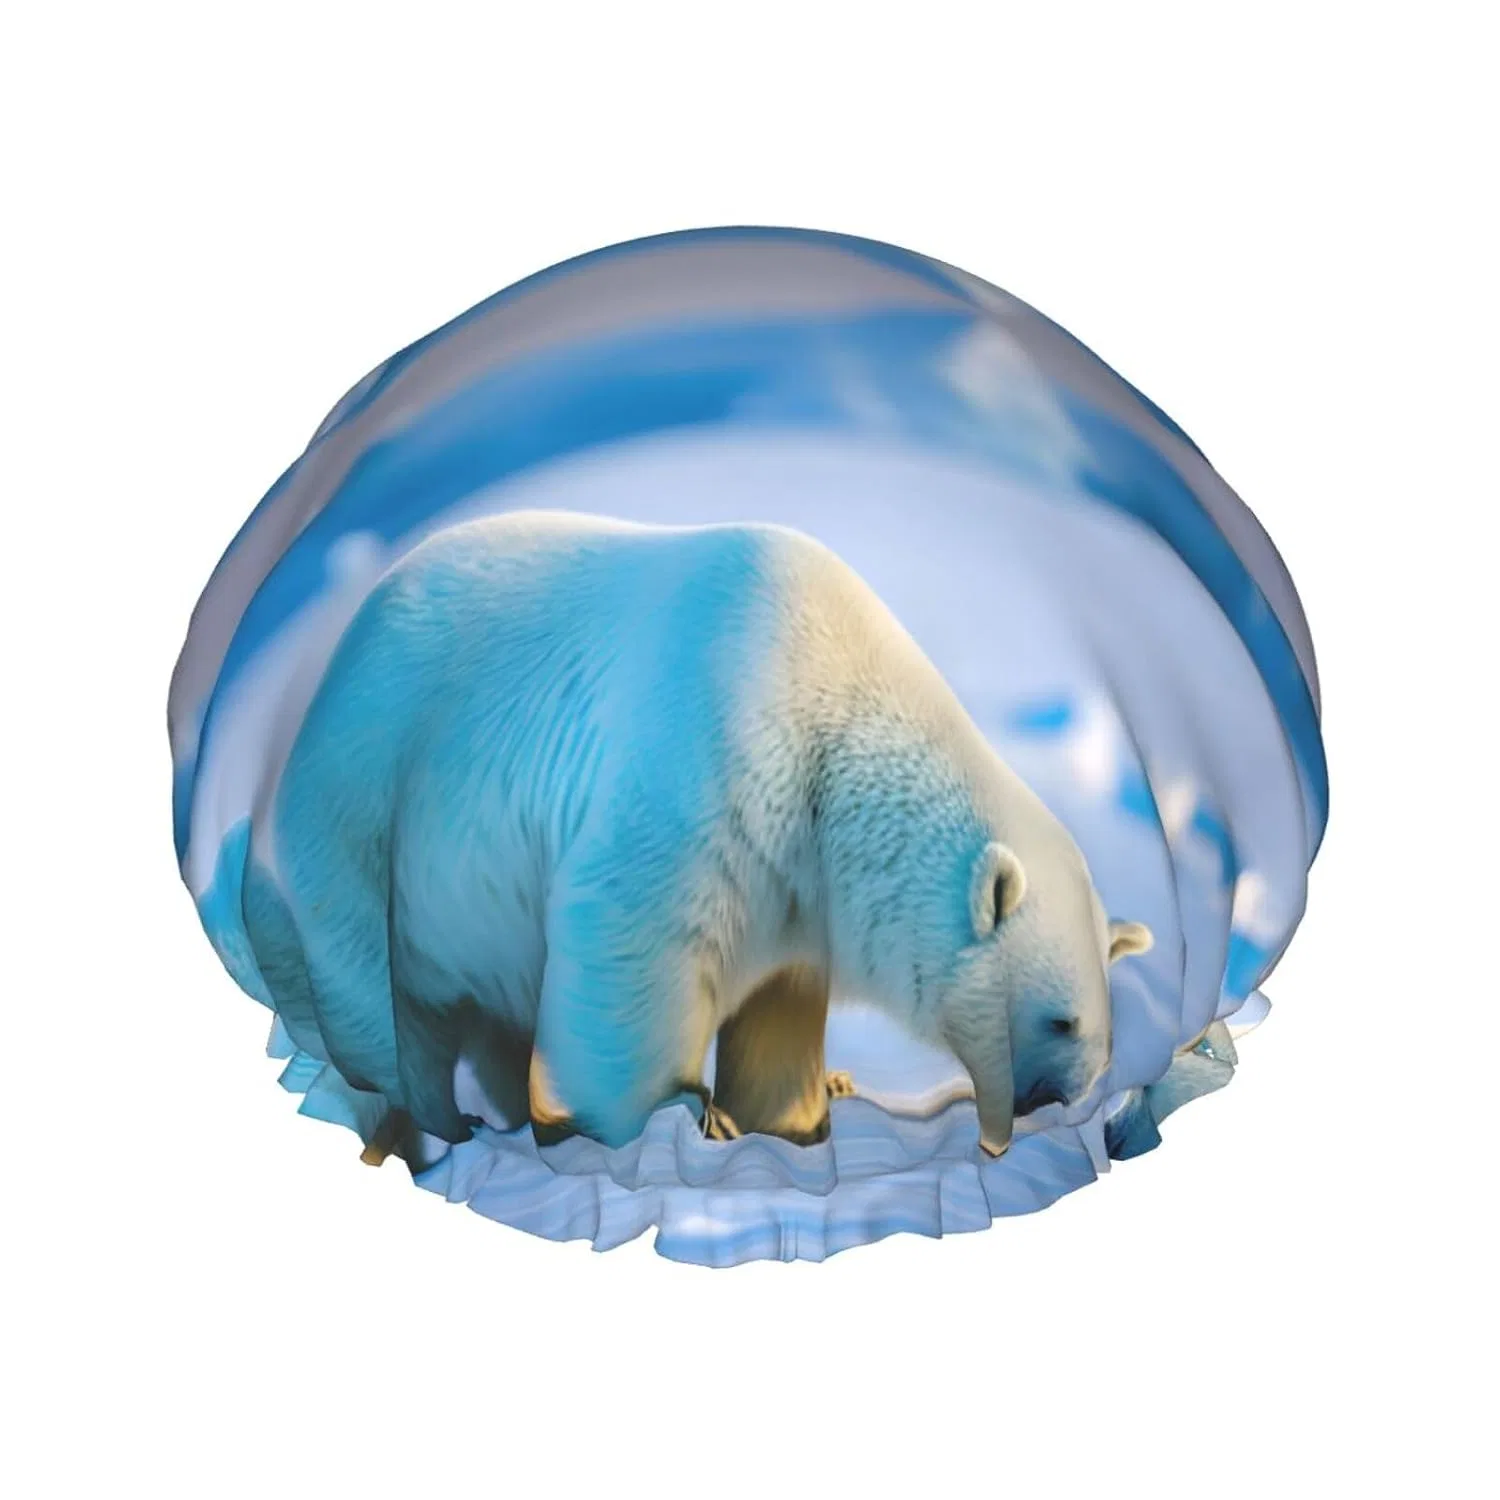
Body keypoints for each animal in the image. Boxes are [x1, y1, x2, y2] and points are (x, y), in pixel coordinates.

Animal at [243, 509, 1152, 1162]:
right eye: (1062, 1020)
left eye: (1102, 1022)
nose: (1061, 1099)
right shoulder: (713, 764)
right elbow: (633, 947)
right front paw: (662, 1118)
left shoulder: (797, 884)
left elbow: (779, 1007)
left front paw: (790, 1119)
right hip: (377, 796)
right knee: (381, 990)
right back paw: (430, 1119)